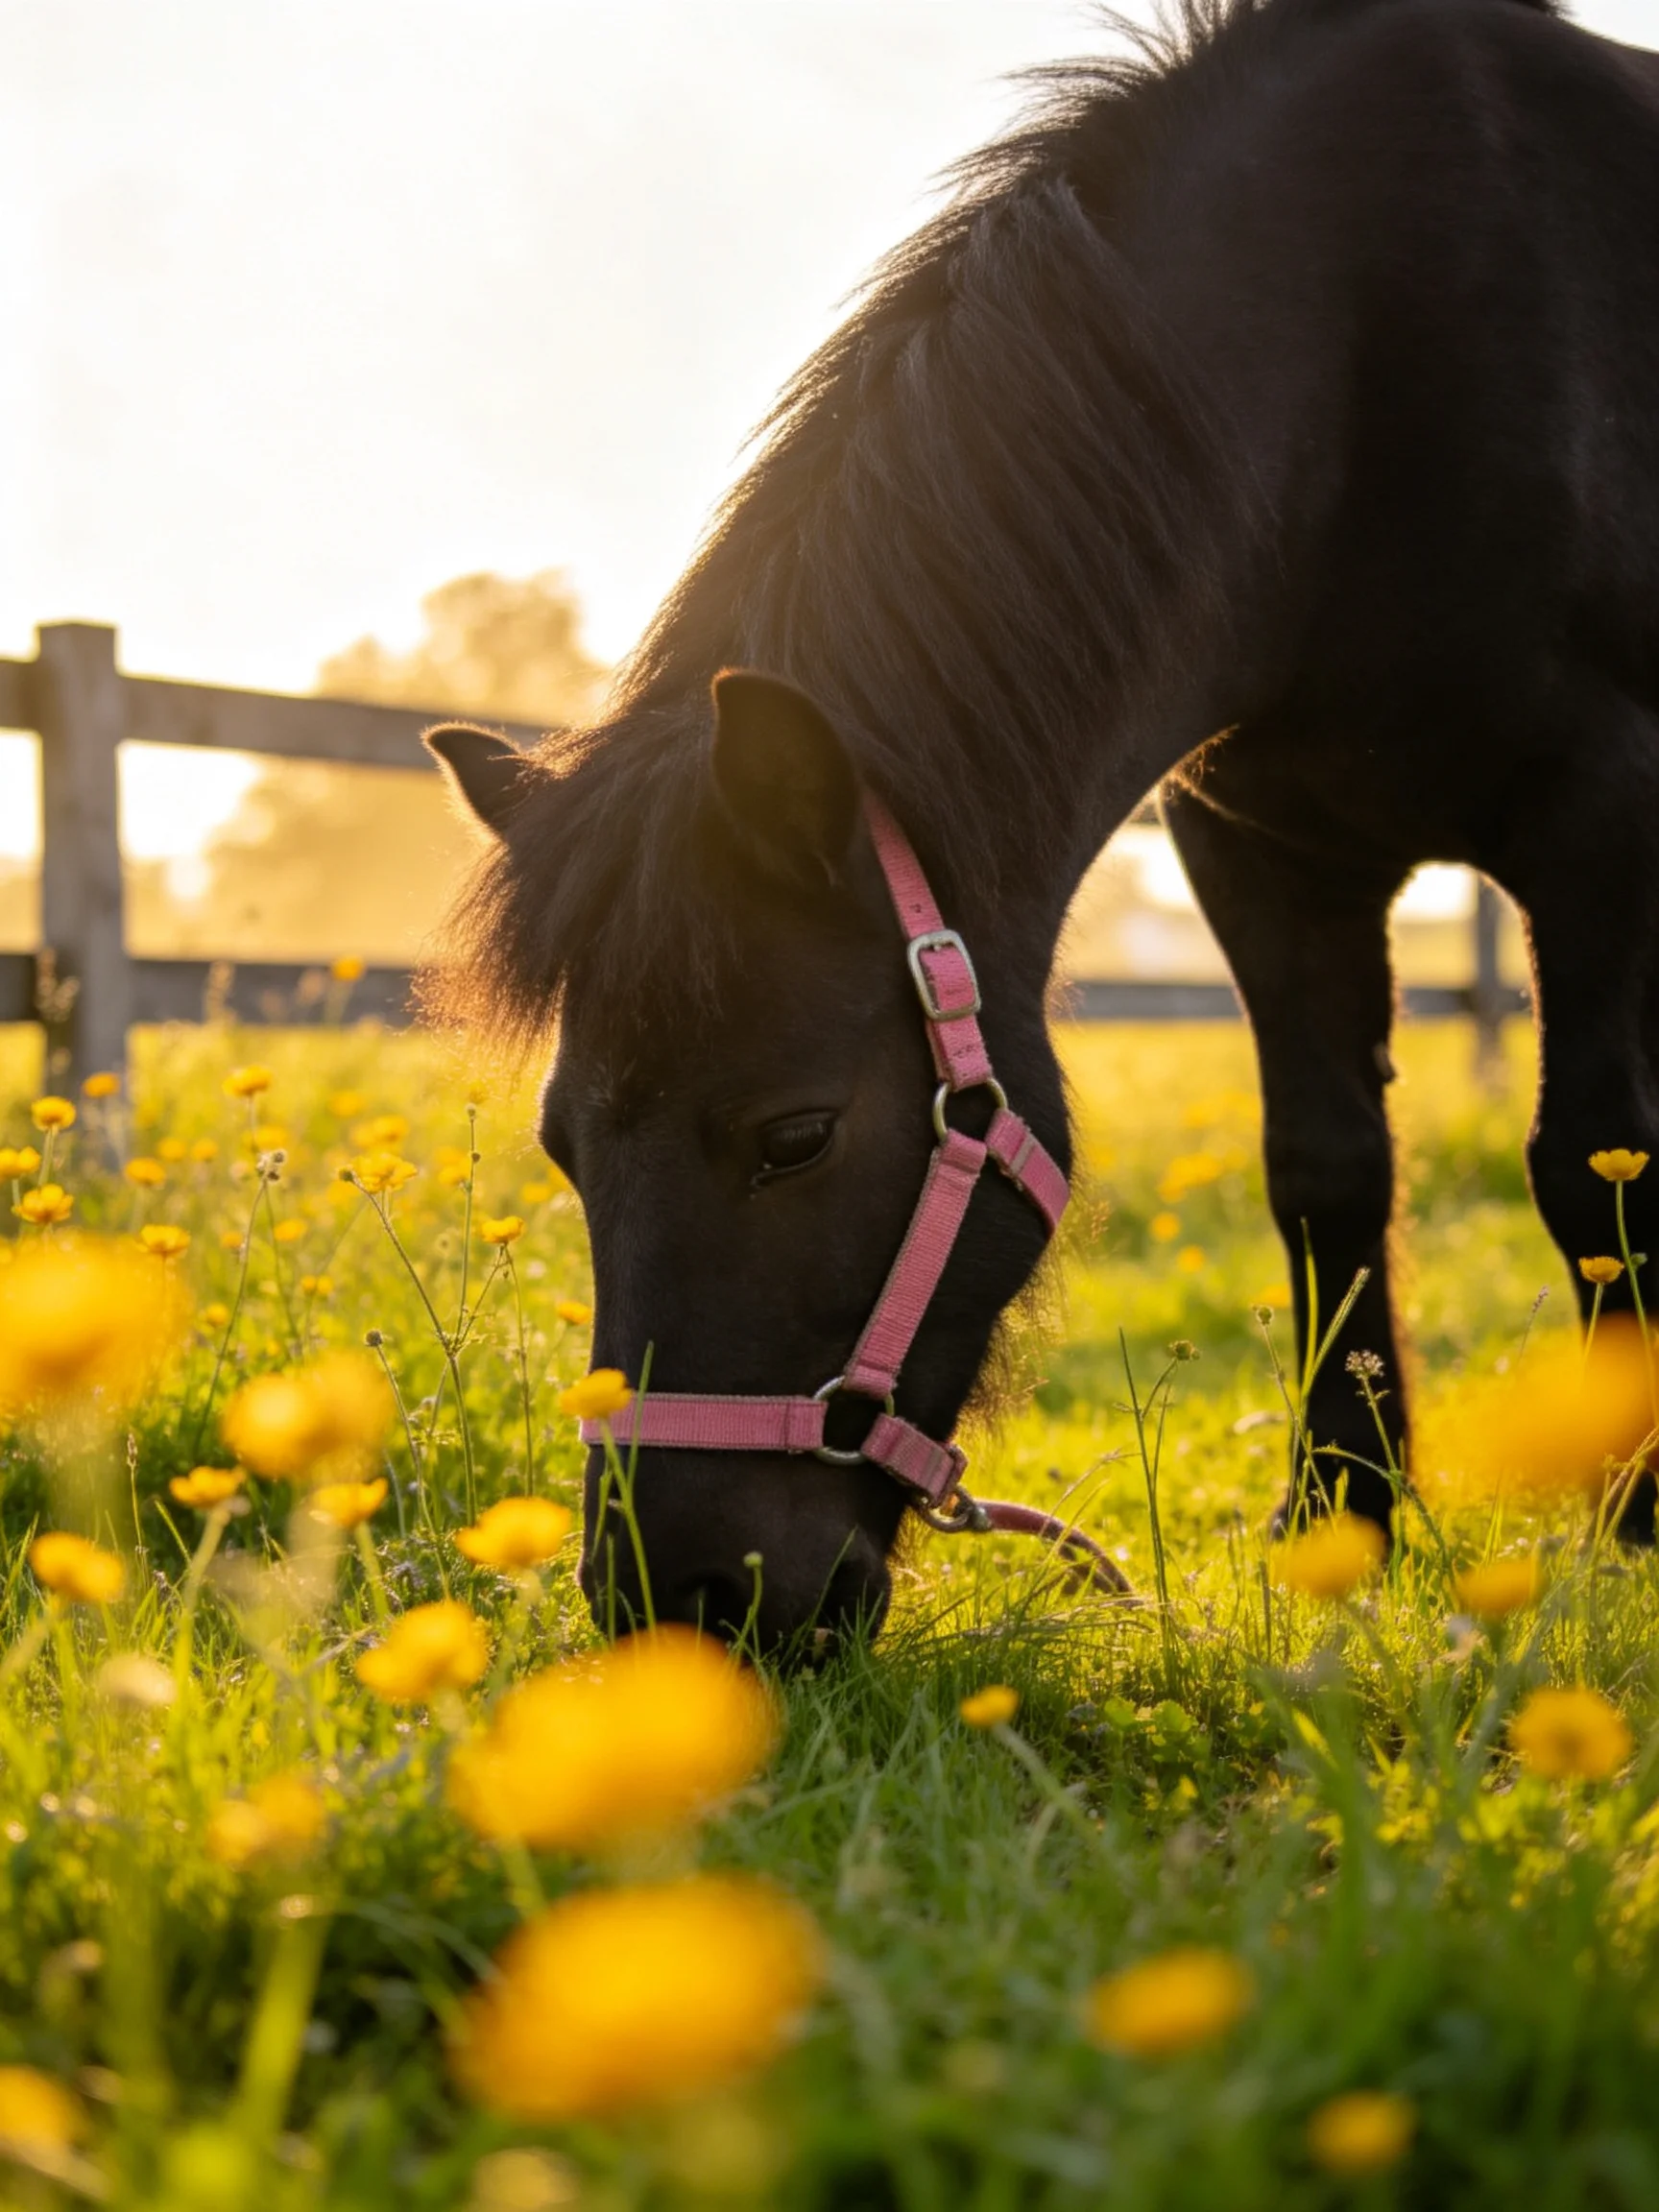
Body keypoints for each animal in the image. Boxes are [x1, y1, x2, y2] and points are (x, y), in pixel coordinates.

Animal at [427, 0, 1659, 1650]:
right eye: (564, 1148)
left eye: (795, 1135)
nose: (677, 1600)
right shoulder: (1263, 851)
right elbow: (1328, 1167)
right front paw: (1341, 1519)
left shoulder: (1599, 816)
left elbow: (1588, 1162)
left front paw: (1641, 1510)